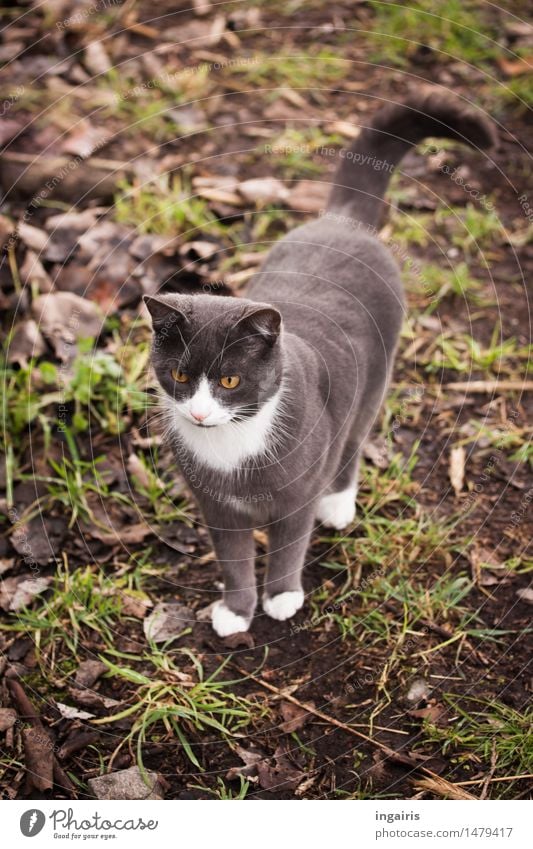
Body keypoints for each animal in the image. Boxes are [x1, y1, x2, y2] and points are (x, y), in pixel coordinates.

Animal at [142, 89, 494, 640]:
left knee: (352, 442)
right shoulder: (216, 506)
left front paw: (282, 598)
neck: (232, 447)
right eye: (179, 375)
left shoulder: (295, 496)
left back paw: (339, 505)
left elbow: (289, 546)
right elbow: (233, 560)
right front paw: (236, 612)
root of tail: (341, 221)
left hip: (372, 385)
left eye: (229, 380)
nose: (198, 413)